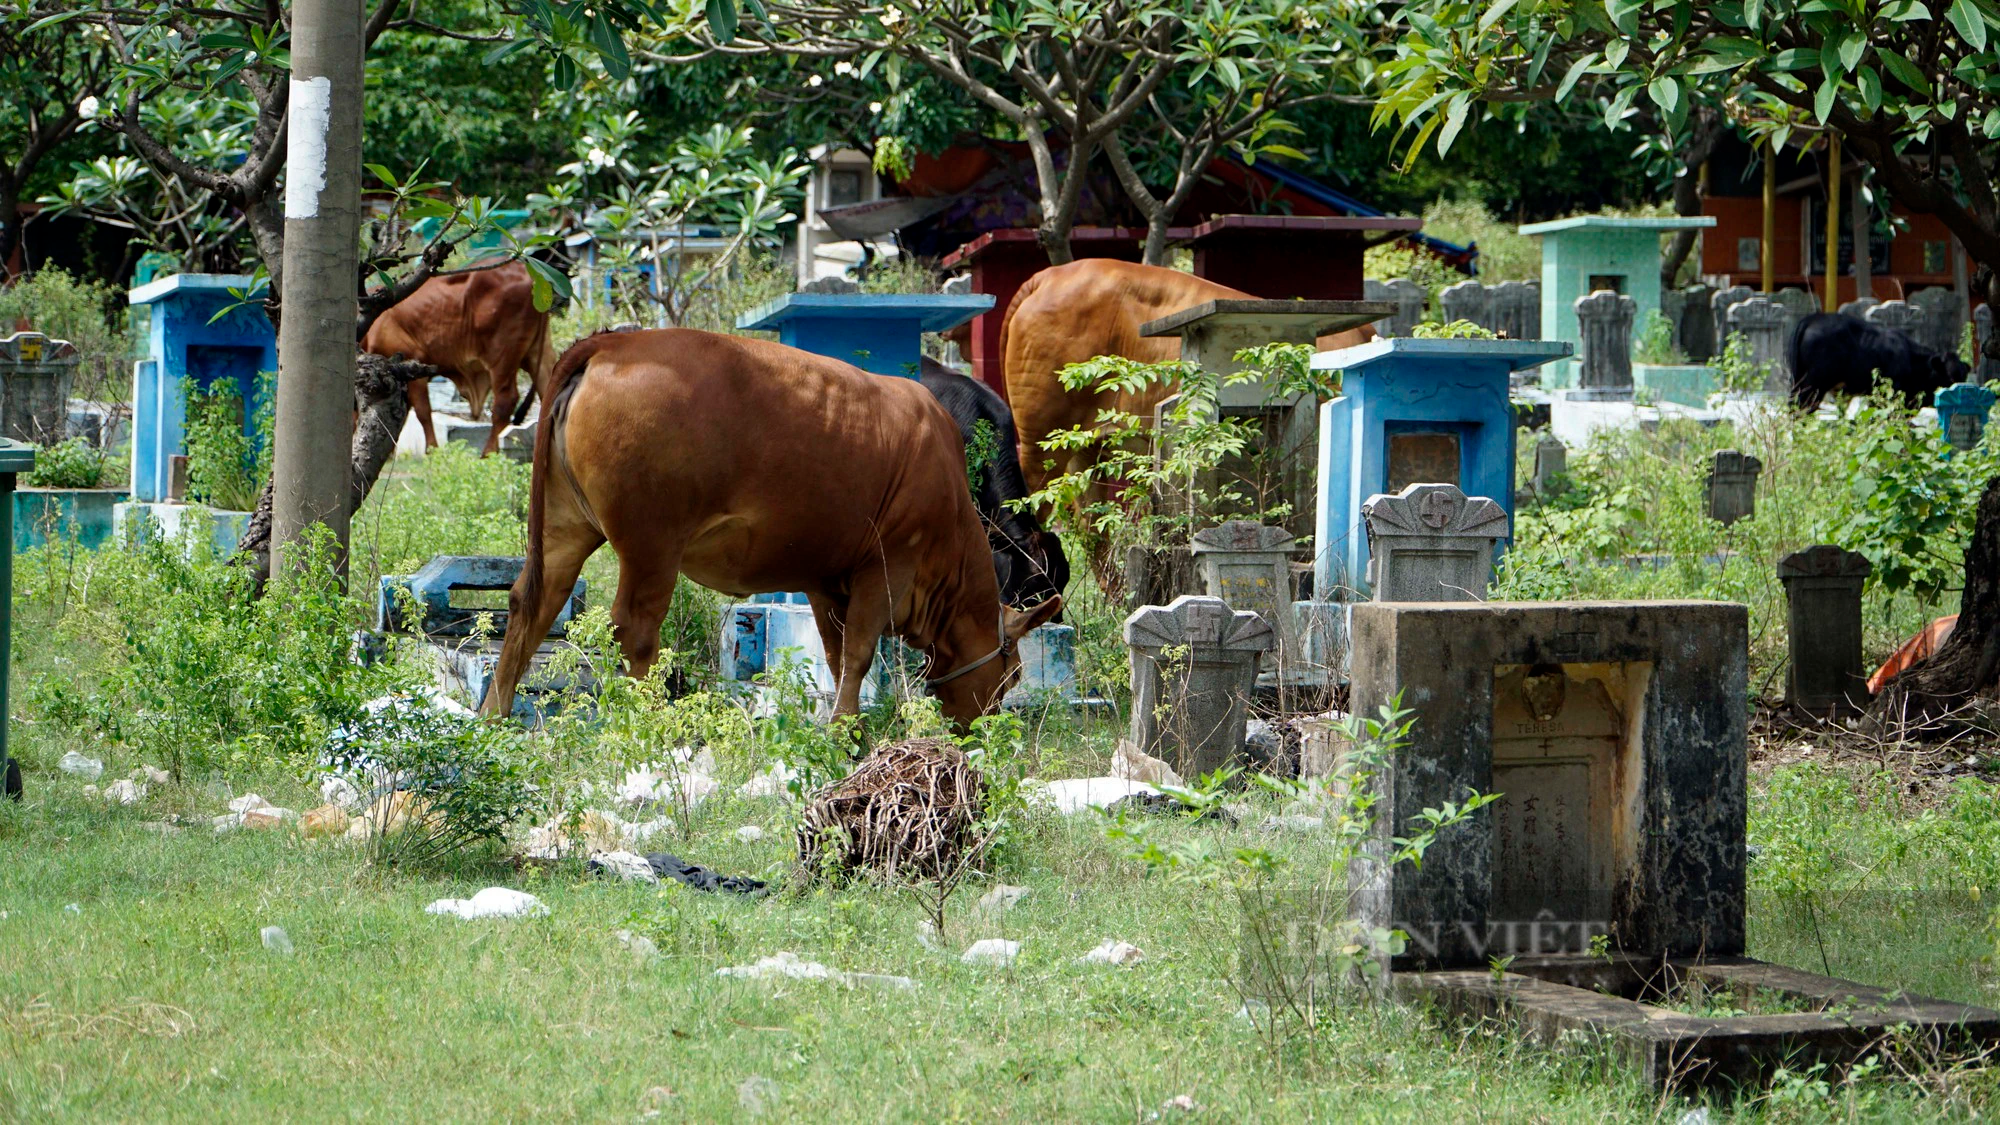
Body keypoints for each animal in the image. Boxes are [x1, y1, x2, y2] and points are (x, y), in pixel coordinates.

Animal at [360, 260, 556, 452]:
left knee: (505, 402)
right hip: (538, 354)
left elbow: (423, 412)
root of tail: (528, 274)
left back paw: (488, 453)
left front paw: (432, 451)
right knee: (548, 391)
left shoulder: (413, 365)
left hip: (502, 358)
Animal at [1784, 310, 1968, 406]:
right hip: (1813, 386)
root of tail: (1812, 319)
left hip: (1798, 381)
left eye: (1963, 377)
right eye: (1950, 377)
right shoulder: (1893, 394)